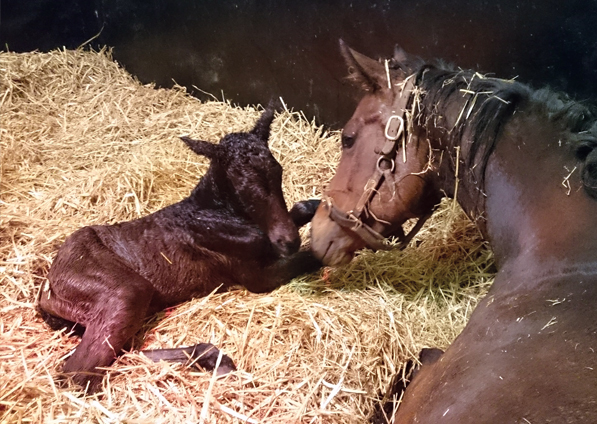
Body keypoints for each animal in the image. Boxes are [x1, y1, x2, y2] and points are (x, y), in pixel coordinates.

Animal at [38, 108, 322, 390]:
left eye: (278, 171)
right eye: (242, 184)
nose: (288, 241)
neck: (215, 211)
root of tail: (47, 292)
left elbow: (300, 210)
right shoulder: (258, 277)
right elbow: (308, 256)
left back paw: (208, 356)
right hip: (125, 292)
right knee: (79, 373)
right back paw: (211, 359)